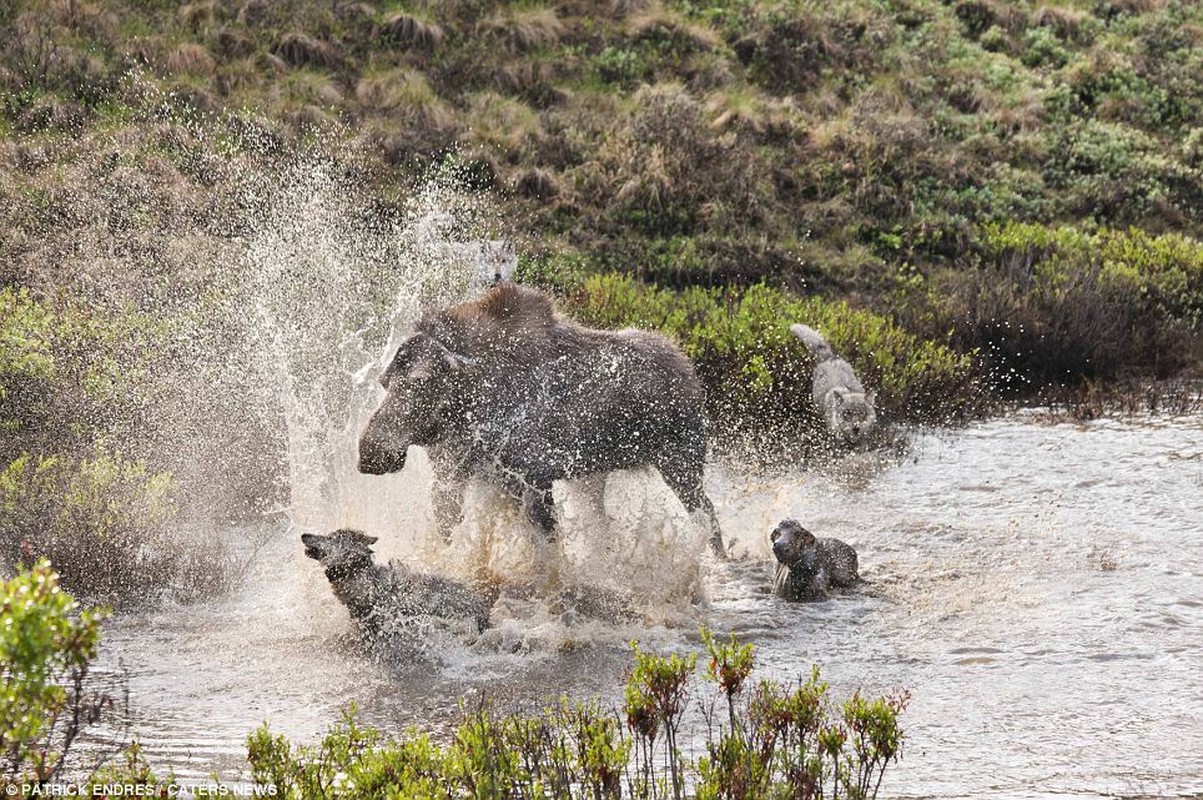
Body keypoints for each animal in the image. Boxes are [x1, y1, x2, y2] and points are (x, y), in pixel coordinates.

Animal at [351, 282, 716, 555]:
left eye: (423, 381)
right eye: (385, 381)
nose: (371, 450)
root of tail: (689, 369)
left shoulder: (534, 475)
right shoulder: (452, 475)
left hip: (681, 459)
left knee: (708, 515)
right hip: (595, 474)